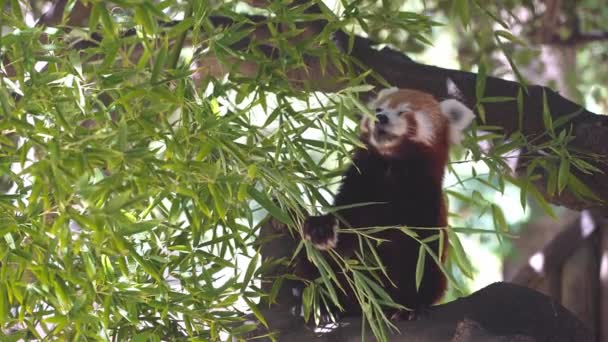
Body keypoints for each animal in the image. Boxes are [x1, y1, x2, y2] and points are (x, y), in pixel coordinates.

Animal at [298, 80, 476, 318]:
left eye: (403, 111)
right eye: (378, 109)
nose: (380, 117)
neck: (391, 166)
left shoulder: (425, 203)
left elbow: (420, 256)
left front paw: (411, 305)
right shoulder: (359, 185)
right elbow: (345, 228)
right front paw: (321, 228)